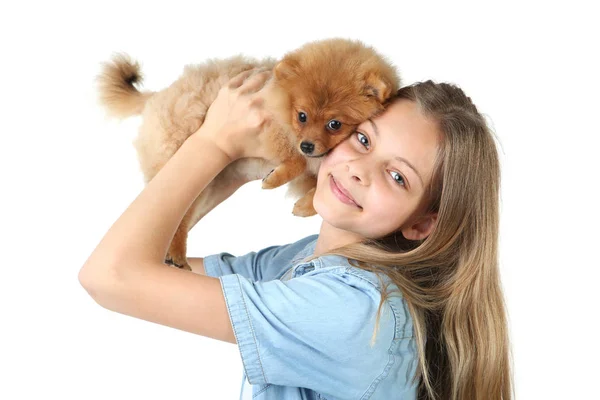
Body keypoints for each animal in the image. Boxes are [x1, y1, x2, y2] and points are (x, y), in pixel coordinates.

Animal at [97, 39, 398, 270]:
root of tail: (159, 95)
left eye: (335, 124)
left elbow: (319, 188)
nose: (308, 146)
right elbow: (296, 162)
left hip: (210, 184)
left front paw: (304, 205)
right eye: (302, 116)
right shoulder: (271, 130)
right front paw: (275, 179)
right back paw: (176, 253)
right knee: (177, 217)